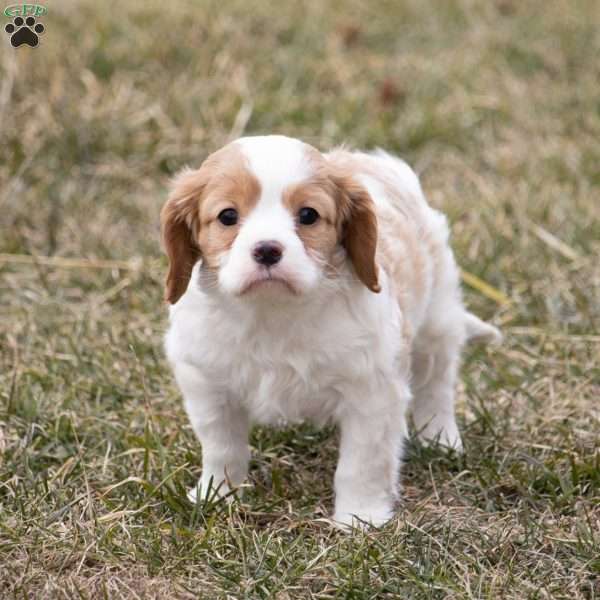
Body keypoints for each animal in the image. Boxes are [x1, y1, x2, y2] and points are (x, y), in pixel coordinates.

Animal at [161, 135, 502, 524]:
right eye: (227, 216)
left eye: (308, 215)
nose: (267, 250)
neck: (273, 312)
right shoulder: (207, 382)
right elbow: (222, 446)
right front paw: (216, 494)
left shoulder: (371, 392)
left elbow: (361, 462)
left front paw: (360, 517)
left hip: (437, 318)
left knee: (436, 384)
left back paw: (440, 438)